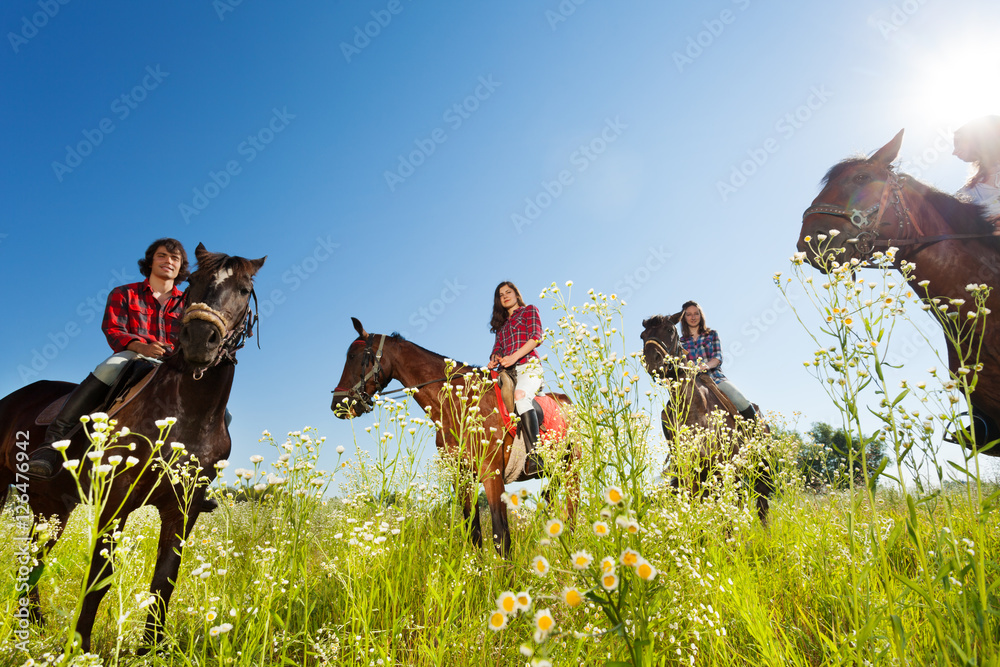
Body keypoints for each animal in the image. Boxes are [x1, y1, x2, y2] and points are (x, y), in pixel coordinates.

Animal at [0, 244, 266, 652]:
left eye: (243, 289)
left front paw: (149, 649)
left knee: (30, 559)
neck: (187, 413)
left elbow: (164, 581)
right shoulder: (115, 499)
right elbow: (101, 576)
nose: (199, 338)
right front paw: (80, 649)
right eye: (193, 282)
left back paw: (32, 627)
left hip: (51, 507)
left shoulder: (182, 510)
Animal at [330, 320, 576, 560]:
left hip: (571, 469)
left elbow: (500, 534)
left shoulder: (492, 474)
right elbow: (474, 533)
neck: (460, 404)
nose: (337, 404)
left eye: (353, 356)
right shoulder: (462, 478)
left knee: (572, 514)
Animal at [640, 314, 772, 528]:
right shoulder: (692, 473)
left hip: (760, 467)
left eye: (670, 330)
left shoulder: (724, 469)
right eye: (643, 336)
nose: (653, 361)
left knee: (761, 505)